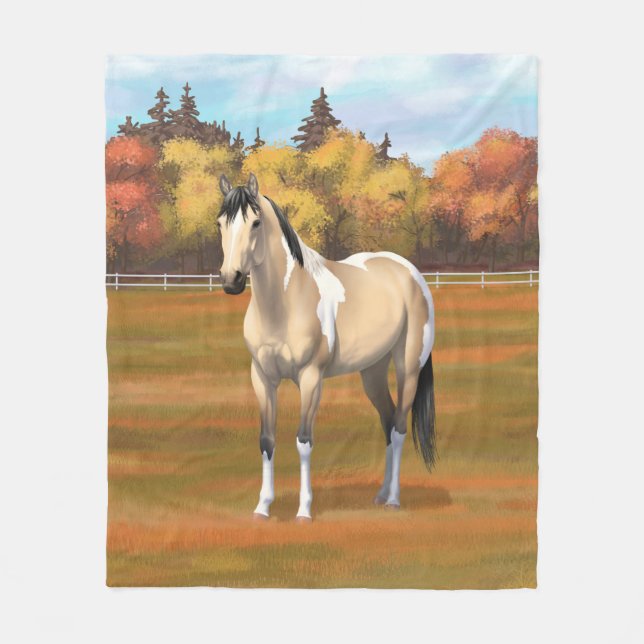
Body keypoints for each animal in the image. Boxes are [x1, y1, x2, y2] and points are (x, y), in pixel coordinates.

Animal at [217, 173, 436, 521]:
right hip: (372, 371)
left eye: (255, 223)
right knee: (388, 422)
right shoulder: (262, 378)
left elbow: (304, 441)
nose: (231, 280)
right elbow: (266, 440)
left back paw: (393, 499)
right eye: (220, 223)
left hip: (408, 368)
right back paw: (380, 495)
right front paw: (262, 507)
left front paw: (304, 511)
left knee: (400, 427)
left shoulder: (311, 378)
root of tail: (410, 273)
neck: (286, 301)